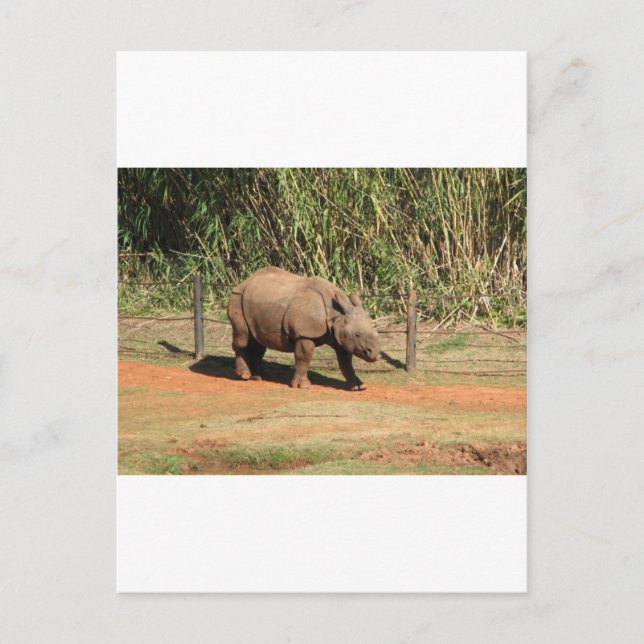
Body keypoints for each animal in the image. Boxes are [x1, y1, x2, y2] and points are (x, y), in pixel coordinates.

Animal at [227, 267, 380, 390]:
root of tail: (245, 281)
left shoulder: (342, 337)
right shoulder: (305, 334)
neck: (336, 315)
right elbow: (304, 357)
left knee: (258, 340)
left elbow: (346, 363)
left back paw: (258, 377)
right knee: (243, 337)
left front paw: (359, 386)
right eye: (357, 334)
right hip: (237, 297)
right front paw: (303, 386)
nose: (374, 354)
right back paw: (244, 376)